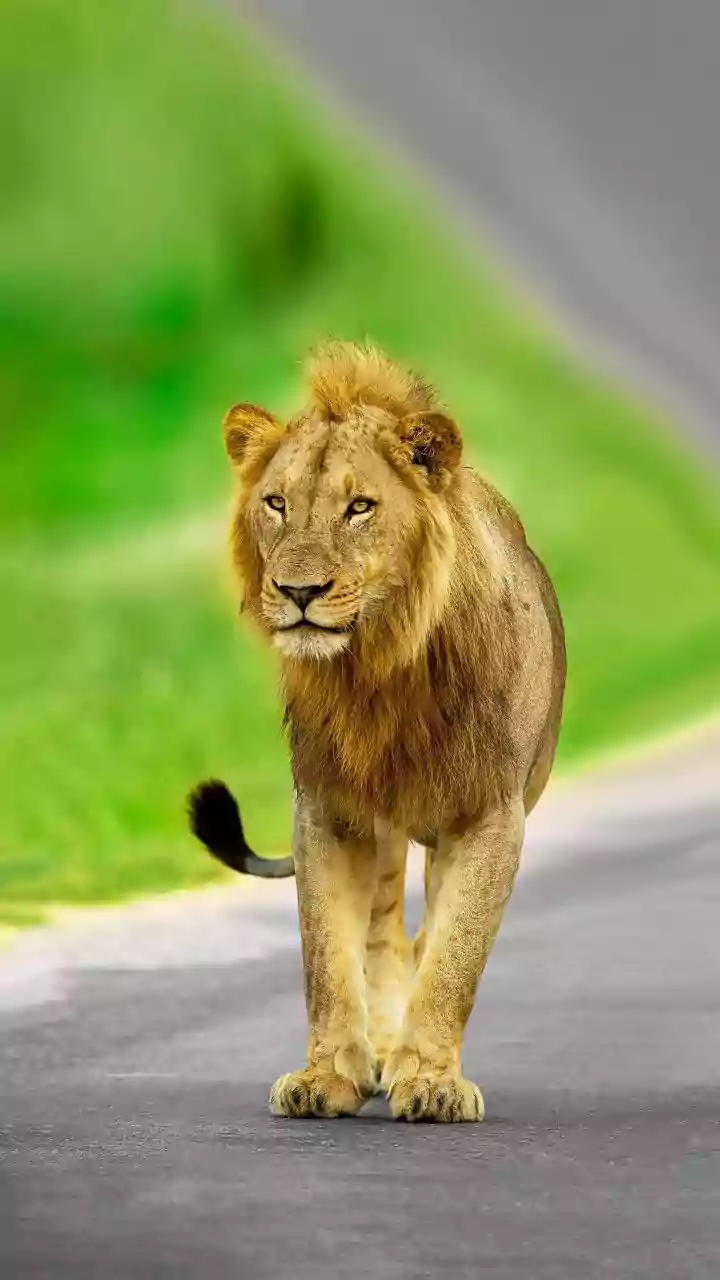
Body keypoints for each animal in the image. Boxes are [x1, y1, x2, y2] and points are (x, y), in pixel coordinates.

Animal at [188, 341, 565, 1122]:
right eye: (276, 504)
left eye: (359, 507)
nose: (298, 592)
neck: (377, 671)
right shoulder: (328, 810)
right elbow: (327, 955)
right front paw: (327, 1075)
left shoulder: (490, 815)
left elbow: (455, 955)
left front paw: (433, 1081)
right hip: (385, 831)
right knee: (386, 934)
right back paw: (381, 1054)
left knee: (423, 936)